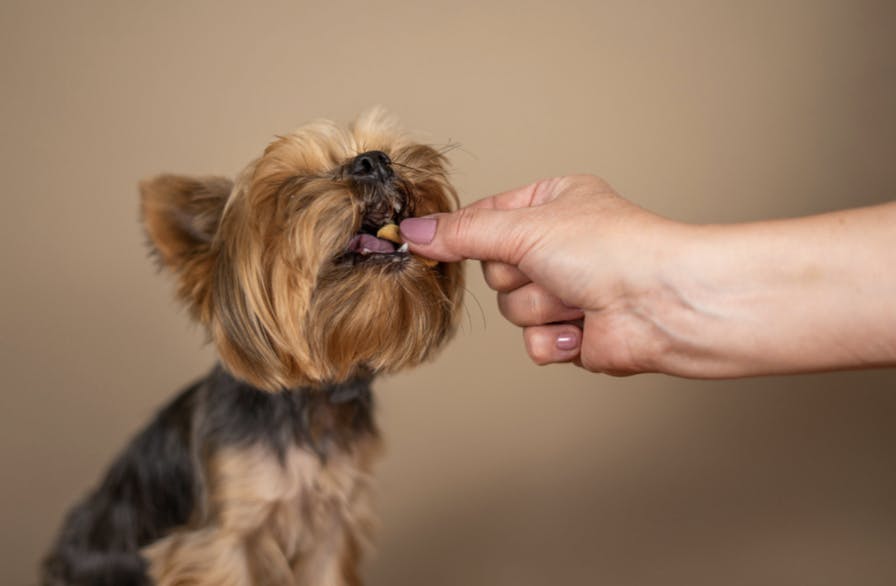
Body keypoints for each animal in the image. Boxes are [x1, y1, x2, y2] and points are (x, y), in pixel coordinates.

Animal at [41, 110, 466, 584]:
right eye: (292, 189)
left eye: (384, 150)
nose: (374, 161)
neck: (309, 402)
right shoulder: (221, 539)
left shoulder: (331, 527)